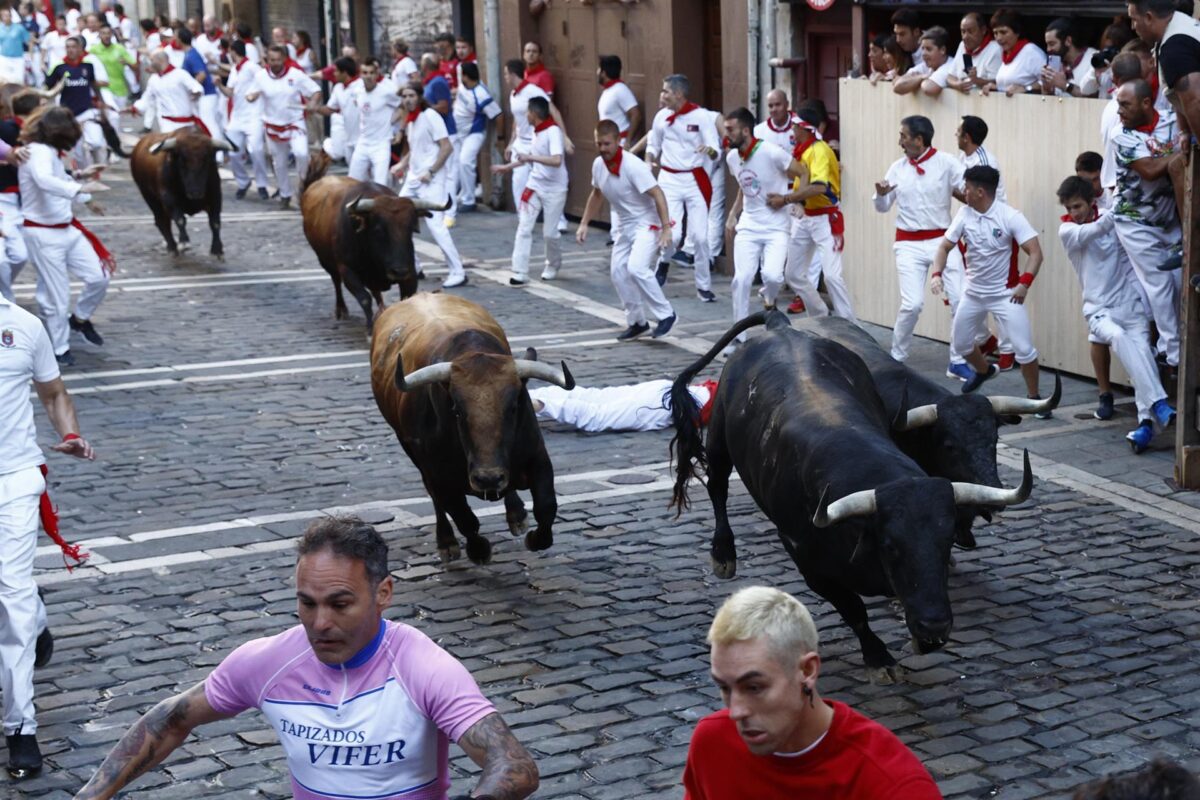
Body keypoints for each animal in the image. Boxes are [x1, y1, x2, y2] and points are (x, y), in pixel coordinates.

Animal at [132, 128, 234, 257]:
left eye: (206, 160)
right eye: (182, 161)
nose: (195, 192)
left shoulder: (216, 196)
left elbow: (215, 222)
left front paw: (217, 248)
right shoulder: (169, 198)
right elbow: (180, 219)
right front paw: (184, 242)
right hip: (150, 198)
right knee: (161, 222)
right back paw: (172, 247)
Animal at [372, 292, 573, 563]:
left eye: (513, 407)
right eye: (456, 410)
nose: (488, 478)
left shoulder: (538, 457)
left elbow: (546, 506)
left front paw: (534, 538)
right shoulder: (439, 477)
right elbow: (464, 519)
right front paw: (478, 551)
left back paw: (516, 515)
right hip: (411, 451)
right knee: (435, 499)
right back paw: (446, 541)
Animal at [667, 311, 1032, 681]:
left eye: (944, 543)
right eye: (890, 546)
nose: (935, 624)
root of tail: (780, 324)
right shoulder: (808, 563)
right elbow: (853, 609)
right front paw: (879, 658)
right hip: (719, 438)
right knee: (717, 487)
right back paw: (723, 554)